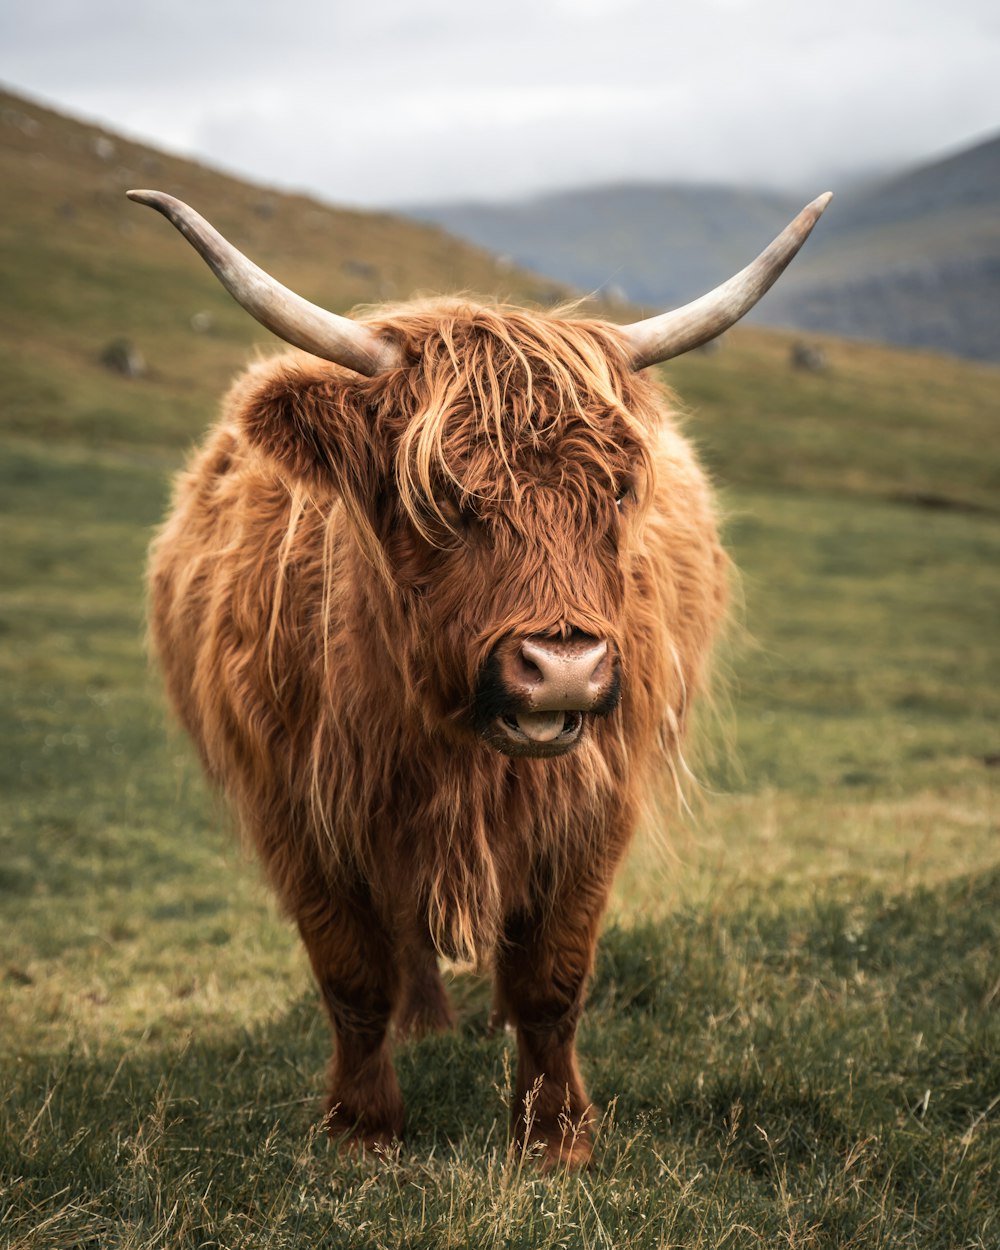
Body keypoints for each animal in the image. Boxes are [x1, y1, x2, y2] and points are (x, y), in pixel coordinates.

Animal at [132, 190, 830, 1165]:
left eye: (618, 493)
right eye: (439, 497)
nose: (564, 667)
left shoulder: (593, 807)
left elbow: (552, 979)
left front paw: (556, 1135)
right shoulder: (296, 810)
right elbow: (352, 976)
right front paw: (362, 1129)